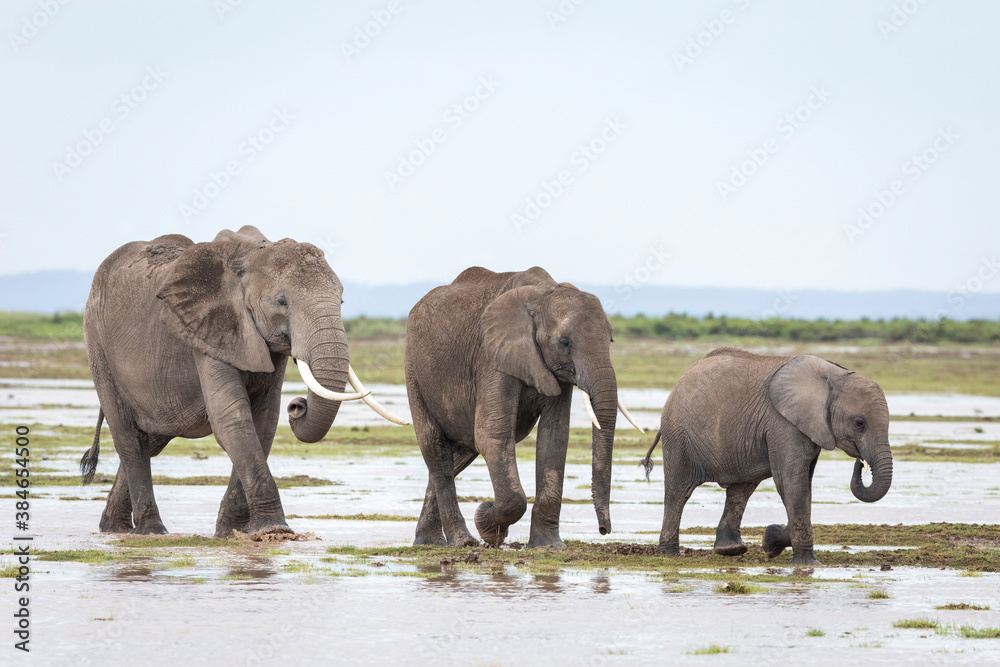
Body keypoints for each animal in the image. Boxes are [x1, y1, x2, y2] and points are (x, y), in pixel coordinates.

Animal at [78, 227, 404, 536]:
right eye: (281, 301)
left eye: (342, 300)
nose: (297, 406)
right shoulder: (208, 330)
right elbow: (233, 420)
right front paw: (274, 530)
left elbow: (264, 423)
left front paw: (231, 533)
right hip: (98, 346)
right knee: (130, 440)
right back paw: (152, 531)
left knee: (151, 440)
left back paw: (114, 528)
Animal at [404, 266, 640, 548]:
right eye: (564, 343)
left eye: (611, 340)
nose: (604, 529)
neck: (542, 294)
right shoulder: (491, 355)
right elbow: (492, 435)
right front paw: (488, 527)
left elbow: (554, 438)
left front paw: (549, 546)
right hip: (414, 370)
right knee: (436, 448)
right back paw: (463, 542)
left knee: (459, 453)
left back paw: (428, 542)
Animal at [644, 348, 896, 568]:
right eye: (859, 423)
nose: (860, 461)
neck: (833, 377)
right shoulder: (782, 424)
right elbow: (791, 482)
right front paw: (806, 562)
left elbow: (803, 486)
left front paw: (771, 542)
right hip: (678, 435)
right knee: (678, 492)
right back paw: (670, 553)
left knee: (740, 490)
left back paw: (730, 550)